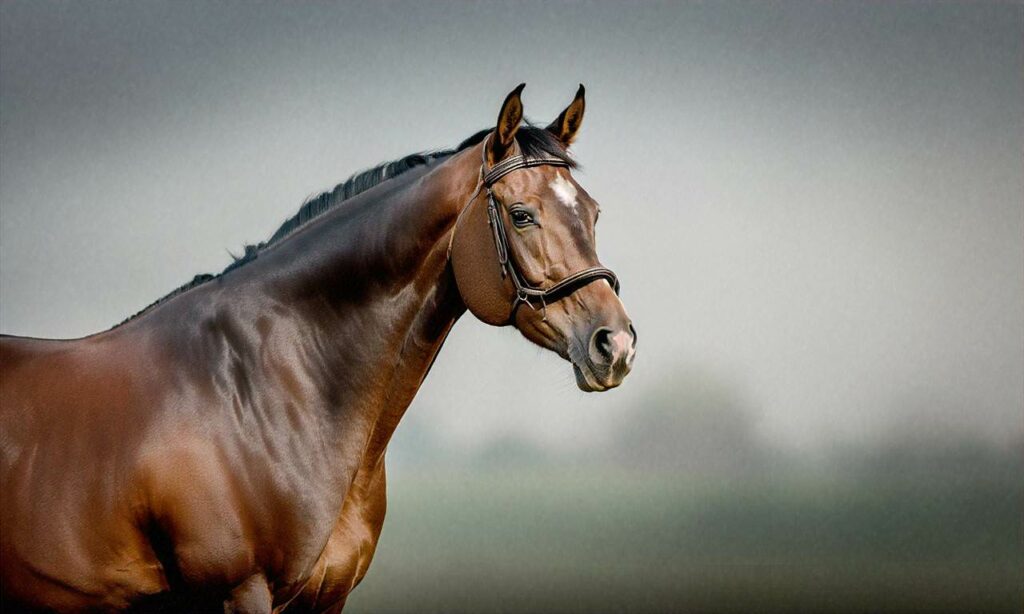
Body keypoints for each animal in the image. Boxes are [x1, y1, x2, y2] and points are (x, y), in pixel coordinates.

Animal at [0, 83, 630, 609]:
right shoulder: (242, 593)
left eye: (594, 212)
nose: (615, 344)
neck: (266, 389)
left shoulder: (327, 599)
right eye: (521, 215)